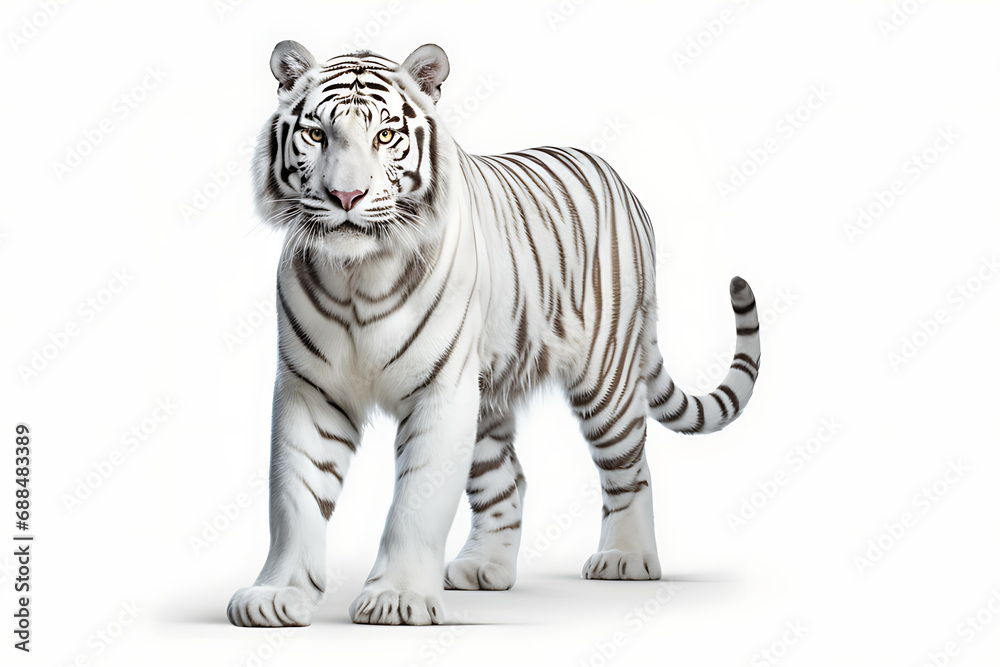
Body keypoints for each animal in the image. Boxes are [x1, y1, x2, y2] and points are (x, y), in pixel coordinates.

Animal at [227, 41, 761, 627]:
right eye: (317, 134)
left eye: (385, 137)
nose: (346, 196)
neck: (357, 277)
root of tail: (612, 173)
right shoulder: (309, 389)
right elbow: (294, 495)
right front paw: (276, 595)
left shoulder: (441, 390)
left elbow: (416, 501)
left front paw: (397, 598)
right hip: (487, 398)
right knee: (508, 479)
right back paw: (485, 568)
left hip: (605, 377)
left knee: (631, 467)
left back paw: (626, 559)